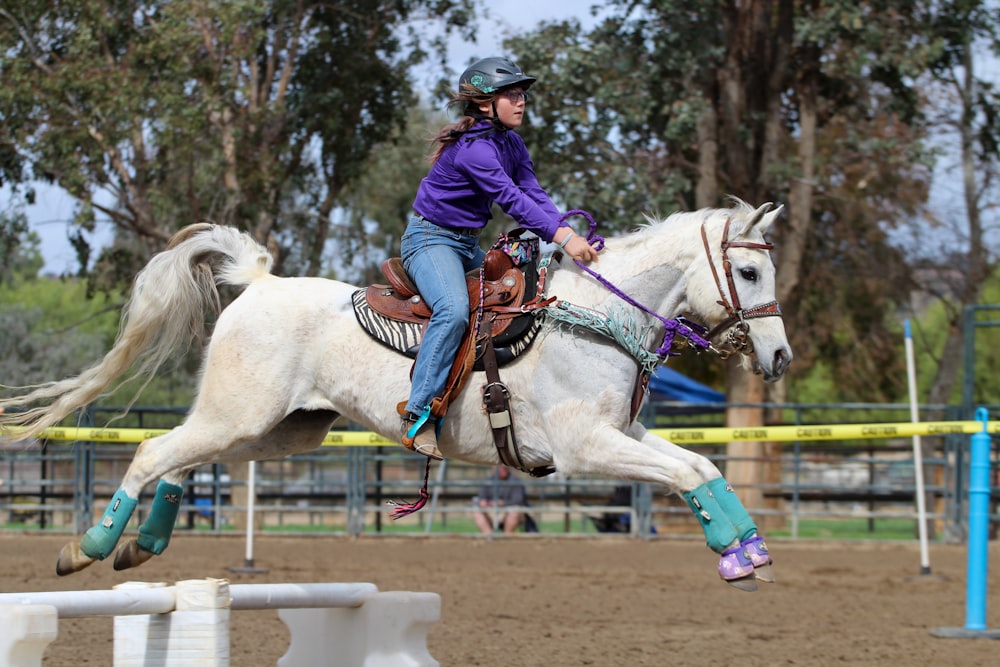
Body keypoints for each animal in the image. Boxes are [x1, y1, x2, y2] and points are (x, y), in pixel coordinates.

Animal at [1, 198, 796, 588]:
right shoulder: (586, 448)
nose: (780, 356)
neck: (594, 318)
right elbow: (687, 474)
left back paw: (143, 546)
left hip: (276, 428)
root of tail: (258, 283)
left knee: (182, 462)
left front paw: (749, 552)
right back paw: (89, 547)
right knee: (151, 452)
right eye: (749, 272)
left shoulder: (623, 436)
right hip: (239, 415)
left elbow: (701, 467)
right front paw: (736, 553)